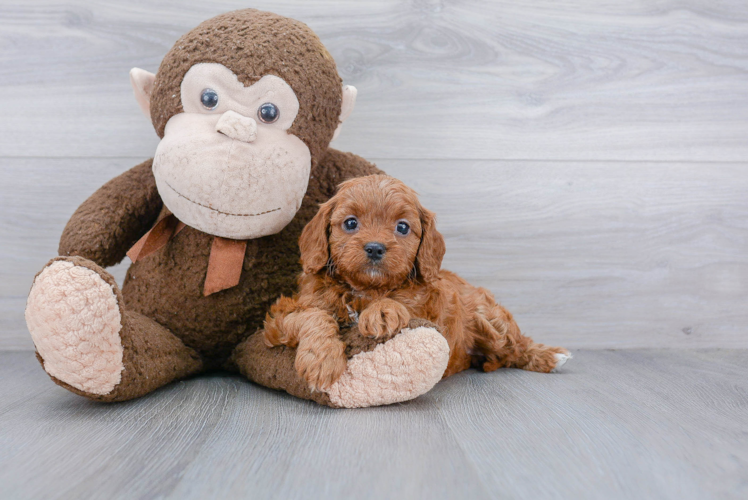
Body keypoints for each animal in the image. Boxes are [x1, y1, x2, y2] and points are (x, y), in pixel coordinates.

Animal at [266, 175, 568, 390]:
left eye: (402, 227)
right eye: (350, 223)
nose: (375, 248)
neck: (364, 291)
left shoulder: (428, 308)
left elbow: (401, 304)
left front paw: (382, 311)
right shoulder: (279, 317)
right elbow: (314, 315)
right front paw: (322, 360)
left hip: (491, 320)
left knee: (517, 345)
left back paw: (550, 356)